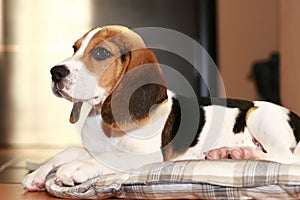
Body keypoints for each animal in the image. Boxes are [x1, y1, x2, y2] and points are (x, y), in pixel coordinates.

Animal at [22, 25, 300, 192]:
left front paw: (77, 169)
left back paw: (241, 153)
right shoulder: (93, 147)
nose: (55, 72)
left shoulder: (147, 155)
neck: (105, 119)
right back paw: (226, 153)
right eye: (75, 48)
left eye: (101, 53)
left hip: (261, 116)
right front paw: (39, 172)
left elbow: (108, 158)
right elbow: (68, 151)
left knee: (285, 159)